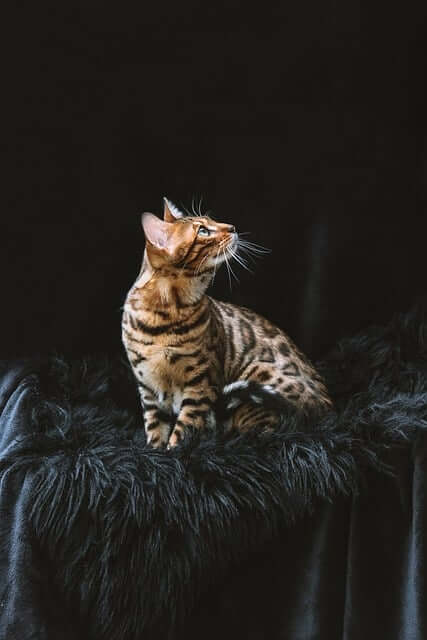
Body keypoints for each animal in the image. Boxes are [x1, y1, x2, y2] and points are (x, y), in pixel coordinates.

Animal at [122, 198, 332, 448]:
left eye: (211, 221)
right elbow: (155, 430)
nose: (232, 227)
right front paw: (155, 453)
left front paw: (175, 451)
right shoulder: (148, 387)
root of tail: (326, 410)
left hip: (259, 374)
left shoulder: (201, 383)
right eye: (203, 231)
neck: (163, 315)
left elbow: (183, 429)